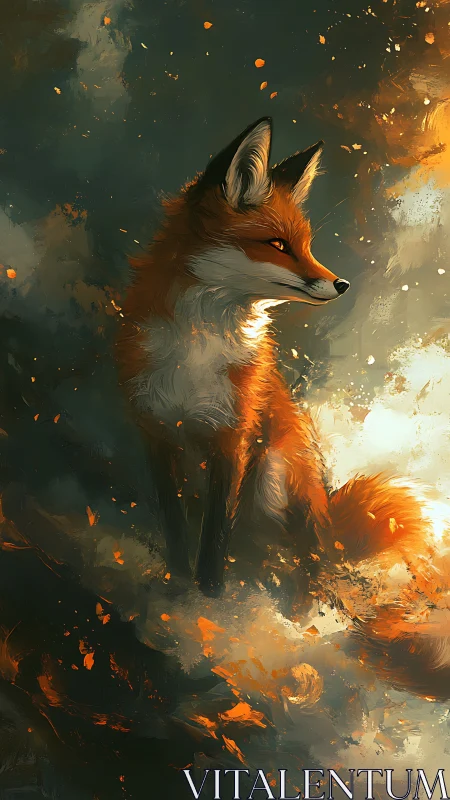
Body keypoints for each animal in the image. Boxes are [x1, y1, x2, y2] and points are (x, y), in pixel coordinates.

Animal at [115, 118, 439, 699]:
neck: (198, 346)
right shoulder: (156, 431)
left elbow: (215, 534)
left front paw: (208, 602)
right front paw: (178, 590)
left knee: (306, 566)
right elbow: (177, 526)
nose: (341, 284)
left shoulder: (234, 437)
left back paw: (296, 620)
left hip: (275, 478)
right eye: (277, 245)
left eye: (306, 246)